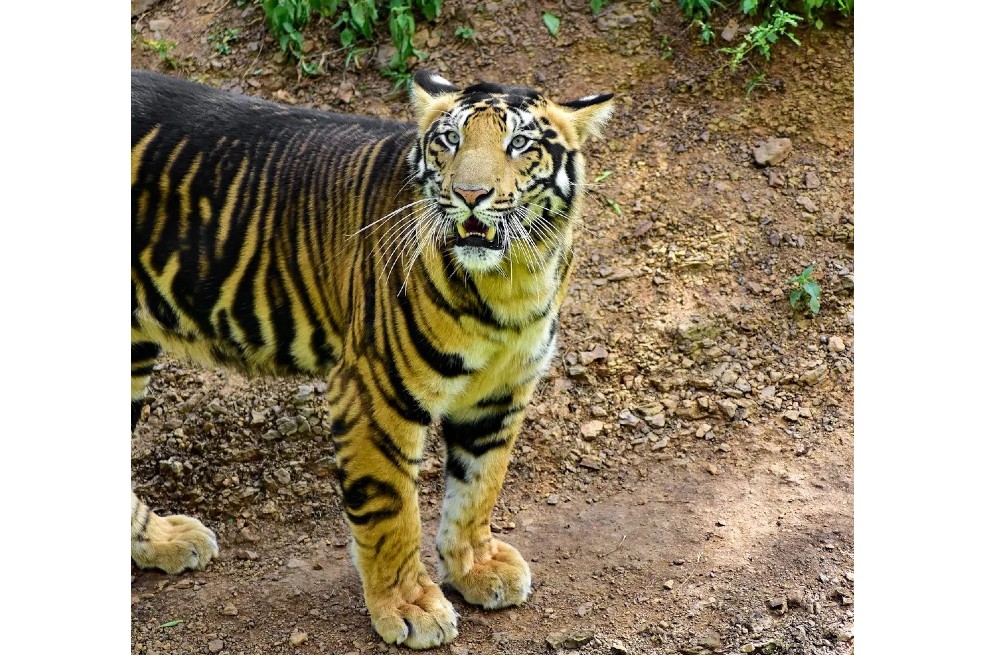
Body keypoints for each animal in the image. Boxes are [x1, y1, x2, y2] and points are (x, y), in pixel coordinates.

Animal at [131, 68, 613, 649]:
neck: (513, 280)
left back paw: (161, 541)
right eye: (449, 140)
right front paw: (409, 608)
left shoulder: (502, 391)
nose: (470, 194)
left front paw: (475, 568)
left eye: (518, 144)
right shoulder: (375, 391)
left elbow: (480, 484)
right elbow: (391, 510)